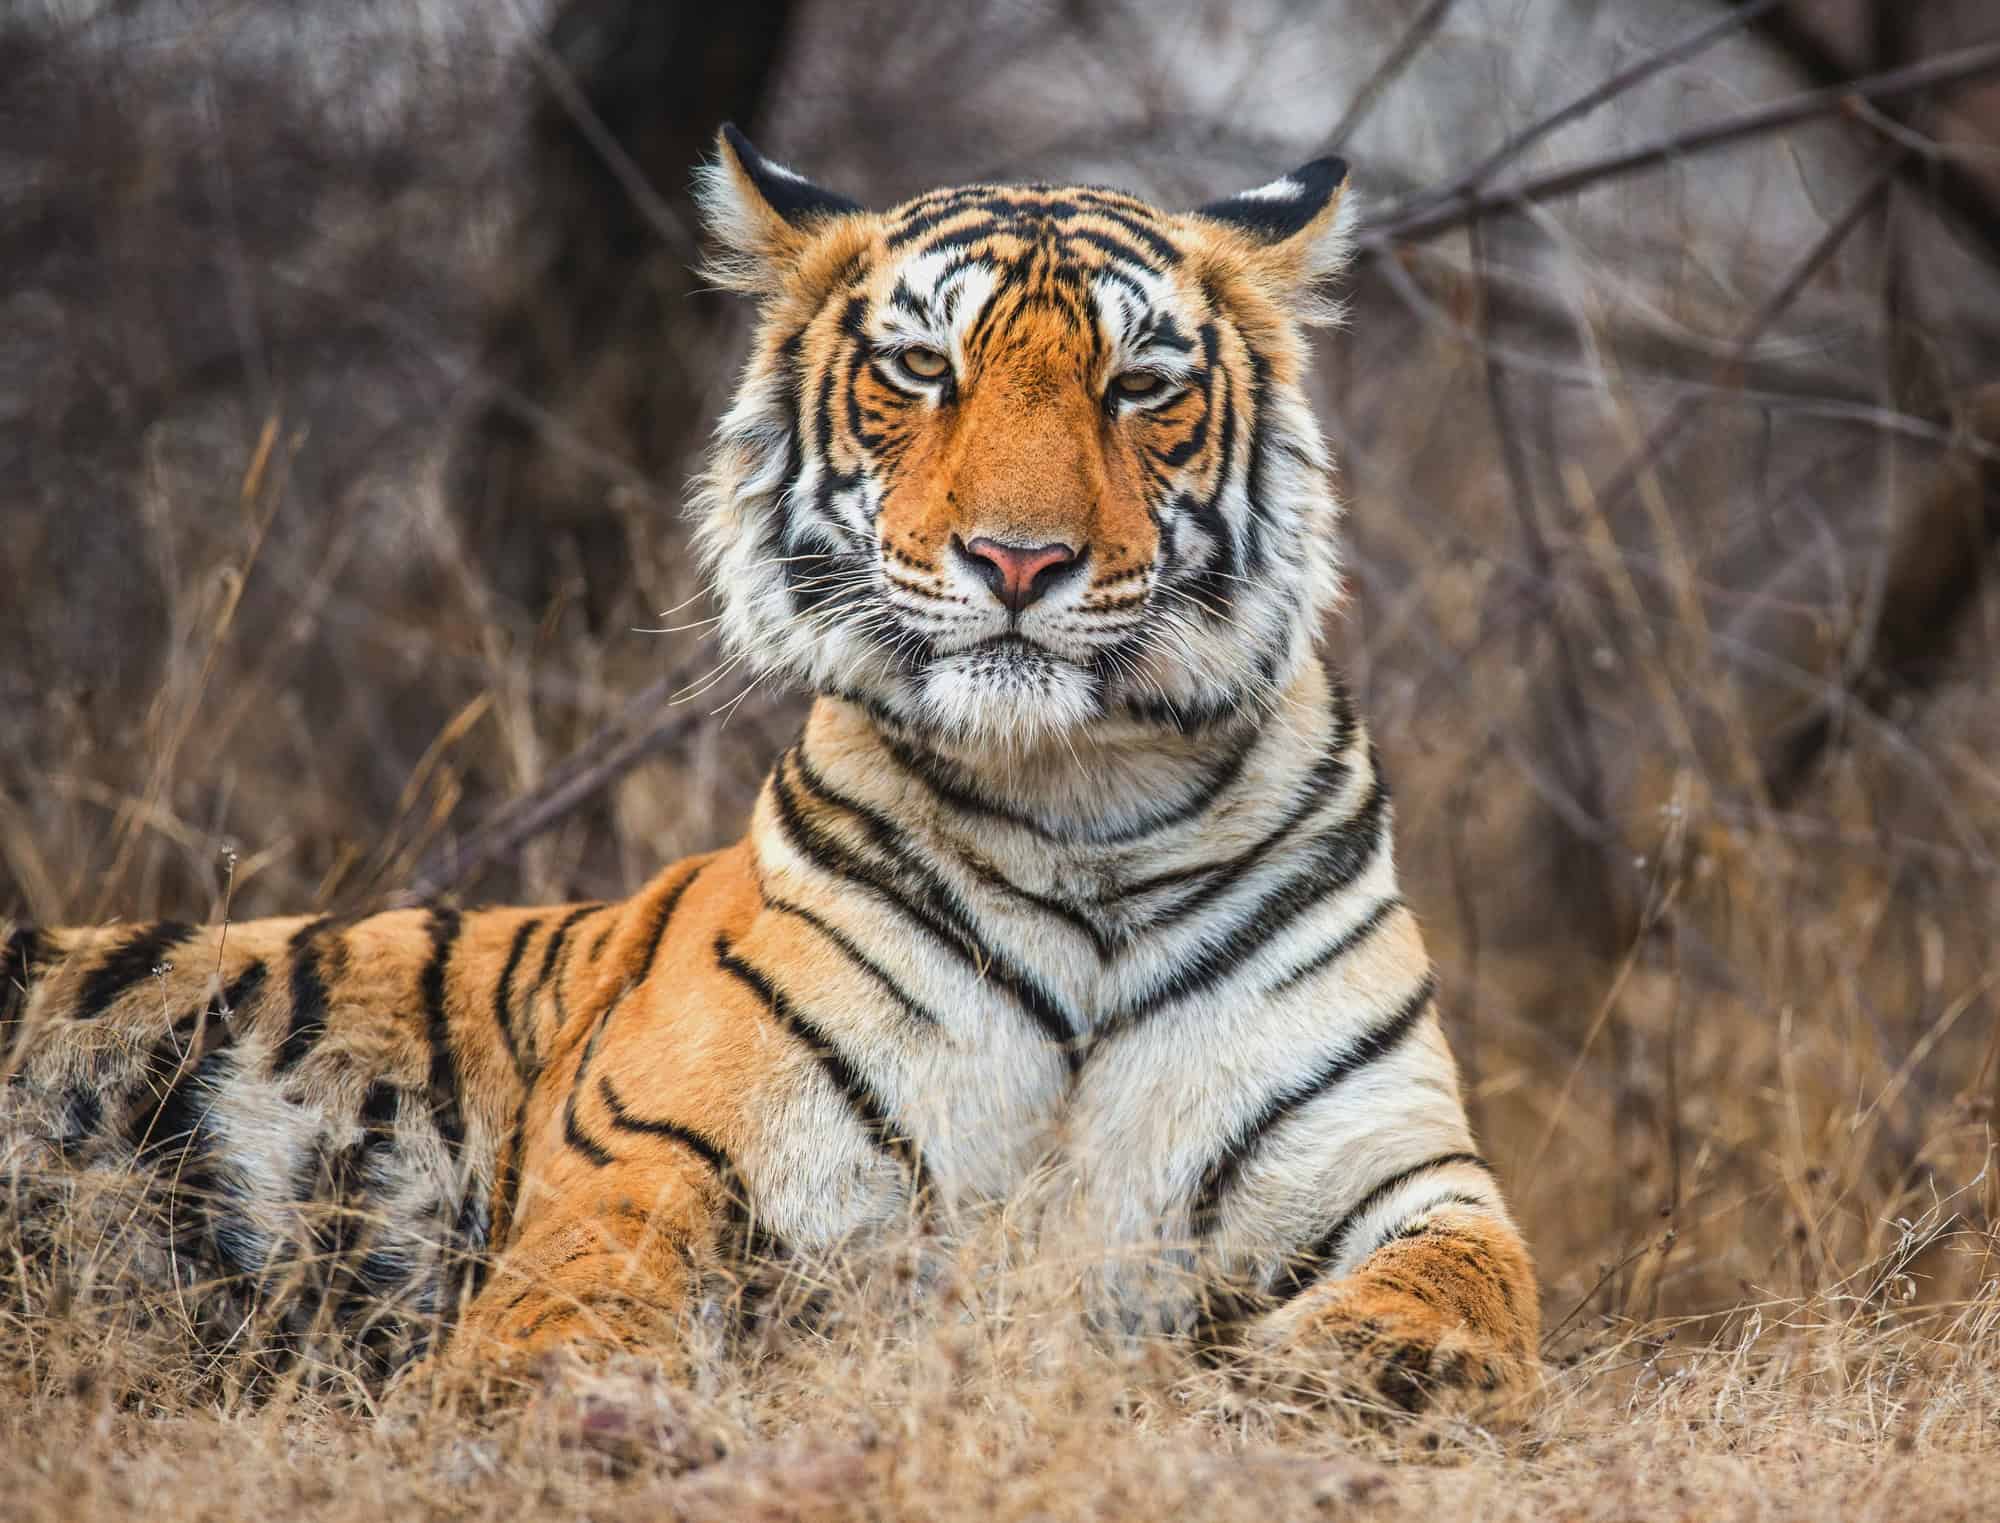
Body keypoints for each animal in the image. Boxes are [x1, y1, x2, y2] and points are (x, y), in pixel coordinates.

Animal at [0, 125, 1539, 1413]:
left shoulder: (1407, 1168)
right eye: (922, 369)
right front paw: (556, 1396)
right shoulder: (657, 1145)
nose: (1020, 559)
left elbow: (1470, 1278)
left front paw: (1364, 1359)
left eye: (1139, 386)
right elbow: (583, 1288)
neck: (1083, 802)